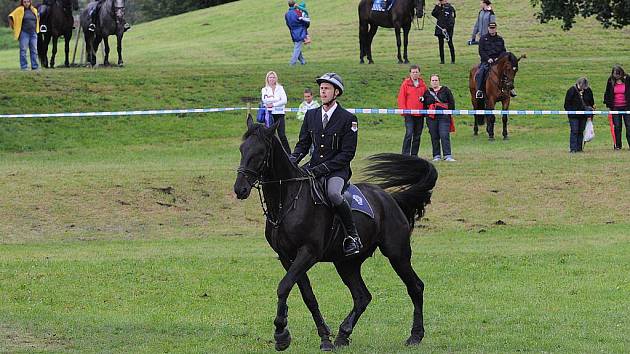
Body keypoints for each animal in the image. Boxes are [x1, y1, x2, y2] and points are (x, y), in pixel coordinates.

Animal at [233, 116, 440, 352]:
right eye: (242, 149)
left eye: (259, 152)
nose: (239, 189)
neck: (288, 199)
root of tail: (389, 199)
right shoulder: (287, 257)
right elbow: (307, 295)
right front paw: (324, 337)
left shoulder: (308, 253)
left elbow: (283, 286)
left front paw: (281, 333)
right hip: (346, 263)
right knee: (362, 296)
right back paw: (343, 334)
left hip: (397, 253)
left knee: (415, 287)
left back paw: (415, 335)